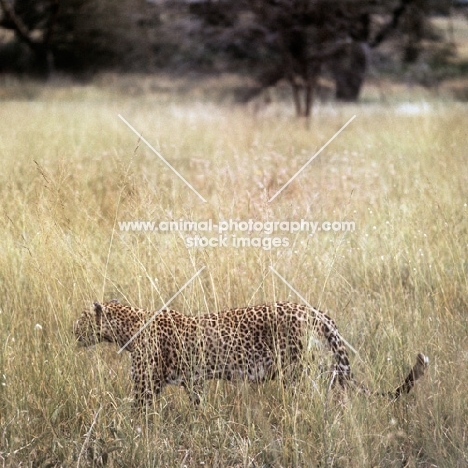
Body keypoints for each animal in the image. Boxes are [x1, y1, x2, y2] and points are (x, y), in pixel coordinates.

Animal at [73, 300, 428, 406]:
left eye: (81, 321)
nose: (71, 332)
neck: (127, 327)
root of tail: (312, 310)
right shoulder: (191, 381)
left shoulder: (146, 386)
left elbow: (132, 412)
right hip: (316, 370)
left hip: (298, 372)